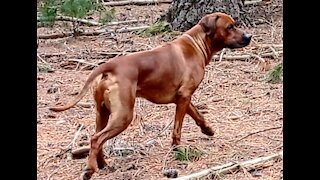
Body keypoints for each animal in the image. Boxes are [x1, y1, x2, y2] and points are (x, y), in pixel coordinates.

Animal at [48, 11, 251, 179]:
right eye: (230, 27)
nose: (249, 36)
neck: (197, 43)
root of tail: (110, 66)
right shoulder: (184, 96)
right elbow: (177, 128)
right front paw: (177, 150)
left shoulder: (183, 98)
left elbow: (198, 115)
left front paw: (207, 129)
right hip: (124, 115)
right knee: (96, 139)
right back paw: (90, 170)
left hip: (102, 112)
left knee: (97, 137)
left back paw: (103, 164)